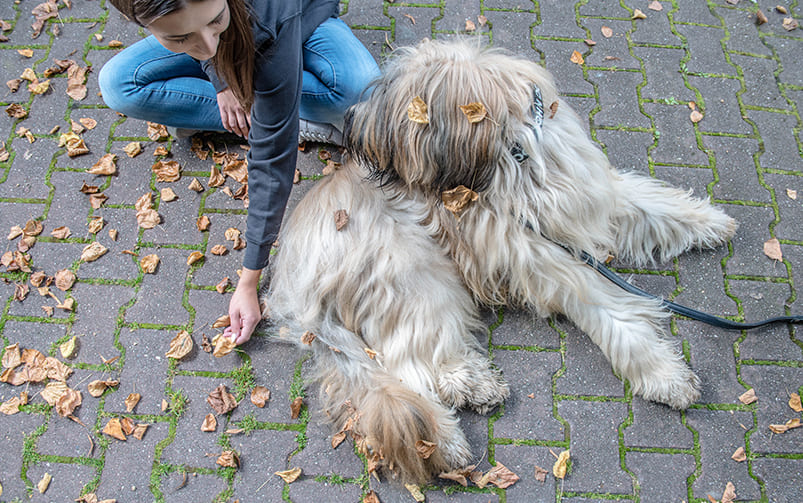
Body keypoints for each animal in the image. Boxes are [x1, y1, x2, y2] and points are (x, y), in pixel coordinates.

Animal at [262, 39, 736, 484]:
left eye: (392, 103)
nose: (352, 124)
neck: (518, 155)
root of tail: (292, 291)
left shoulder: (586, 200)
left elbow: (646, 203)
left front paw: (709, 221)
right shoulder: (544, 259)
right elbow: (613, 313)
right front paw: (663, 373)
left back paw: (469, 392)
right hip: (417, 273)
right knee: (408, 367)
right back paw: (448, 436)